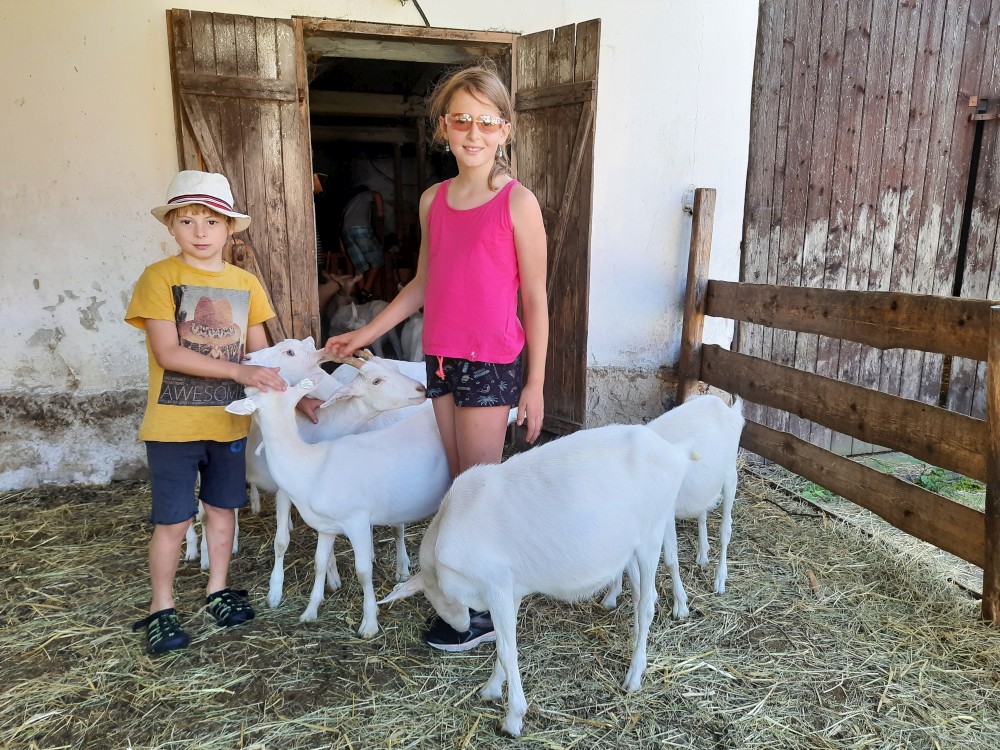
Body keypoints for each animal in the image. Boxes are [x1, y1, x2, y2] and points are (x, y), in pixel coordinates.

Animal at [226, 377, 452, 637]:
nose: (245, 385)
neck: (309, 464)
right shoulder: (326, 527)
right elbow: (319, 563)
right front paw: (310, 611)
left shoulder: (358, 521)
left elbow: (363, 572)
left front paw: (369, 623)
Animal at [379, 423, 697, 737]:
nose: (461, 627)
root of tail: (675, 453)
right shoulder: (510, 590)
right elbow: (504, 646)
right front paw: (492, 689)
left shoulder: (496, 587)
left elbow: (507, 650)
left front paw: (513, 719)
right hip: (631, 545)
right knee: (642, 594)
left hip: (651, 536)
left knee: (648, 604)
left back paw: (634, 675)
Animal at [601, 395, 745, 616]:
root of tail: (726, 406)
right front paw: (613, 595)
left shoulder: (664, 516)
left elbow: (670, 560)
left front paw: (680, 605)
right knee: (702, 511)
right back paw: (703, 553)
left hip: (730, 474)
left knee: (725, 529)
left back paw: (720, 579)